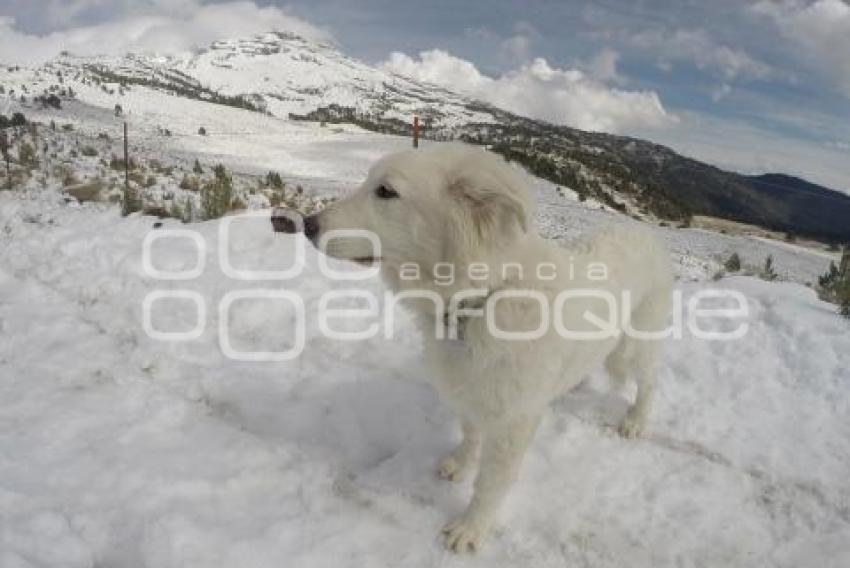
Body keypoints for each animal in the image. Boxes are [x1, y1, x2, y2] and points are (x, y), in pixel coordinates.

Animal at [282, 143, 672, 556]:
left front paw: (471, 528)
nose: (307, 225)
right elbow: (470, 436)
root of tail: (640, 231)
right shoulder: (469, 391)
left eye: (386, 191)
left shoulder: (513, 422)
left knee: (650, 382)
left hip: (636, 345)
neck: (481, 299)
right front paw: (461, 465)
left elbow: (490, 484)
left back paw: (635, 421)